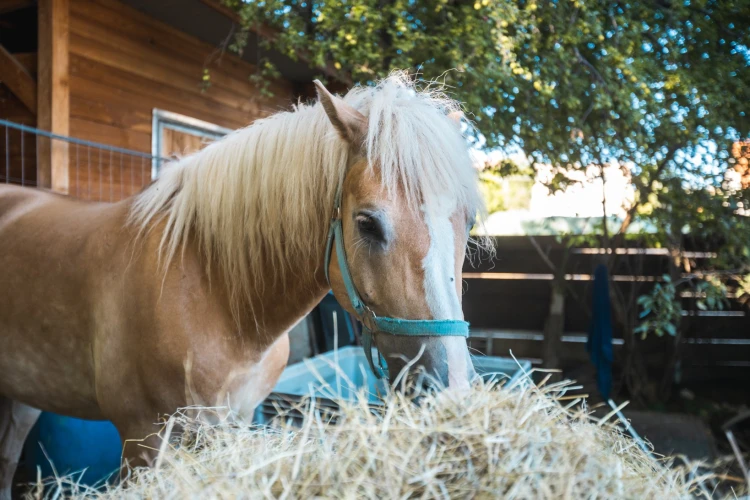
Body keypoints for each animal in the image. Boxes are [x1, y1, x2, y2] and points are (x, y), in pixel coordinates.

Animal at [0, 72, 488, 494]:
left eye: (466, 222)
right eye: (367, 223)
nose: (452, 391)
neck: (211, 288)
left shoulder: (234, 419)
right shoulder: (144, 442)